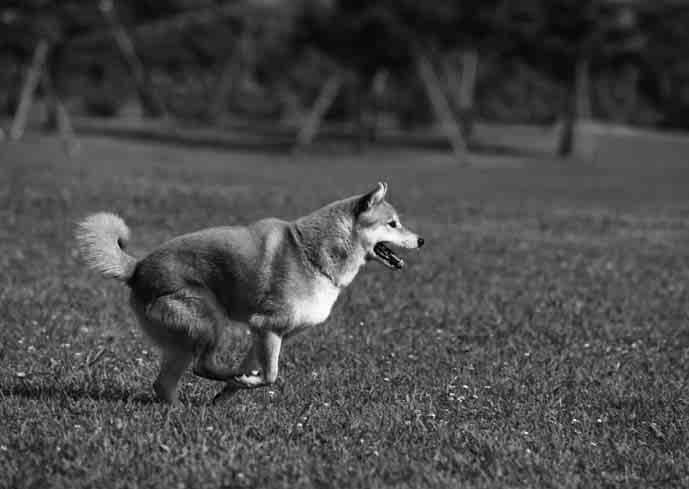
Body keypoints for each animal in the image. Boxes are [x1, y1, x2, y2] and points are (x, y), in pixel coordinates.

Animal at [74, 181, 420, 402]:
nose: (422, 240)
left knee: (164, 383)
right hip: (209, 320)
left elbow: (255, 370)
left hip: (182, 340)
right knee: (201, 365)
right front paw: (241, 382)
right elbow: (270, 375)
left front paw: (228, 394)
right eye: (392, 223)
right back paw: (219, 378)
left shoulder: (267, 334)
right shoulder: (266, 326)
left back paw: (179, 409)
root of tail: (137, 268)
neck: (313, 254)